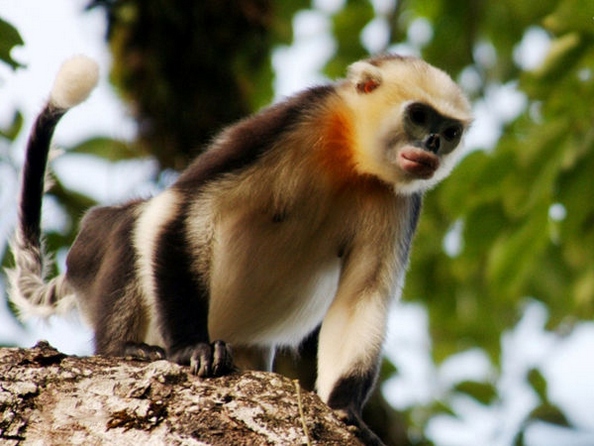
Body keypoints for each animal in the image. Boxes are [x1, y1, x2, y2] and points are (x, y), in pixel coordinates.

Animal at [6, 54, 470, 444]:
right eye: (419, 115)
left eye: (450, 133)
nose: (432, 143)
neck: (349, 156)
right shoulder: (297, 117)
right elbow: (186, 208)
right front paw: (193, 348)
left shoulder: (400, 199)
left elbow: (365, 293)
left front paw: (346, 411)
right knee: (130, 226)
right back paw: (122, 347)